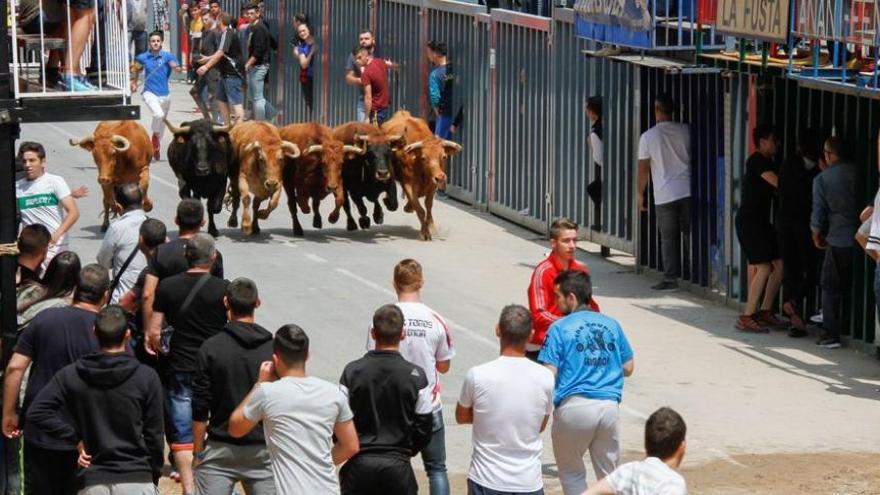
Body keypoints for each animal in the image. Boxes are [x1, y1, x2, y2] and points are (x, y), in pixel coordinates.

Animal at [380, 113, 460, 244]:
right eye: (424, 158)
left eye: (444, 156)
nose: (440, 177)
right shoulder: (408, 184)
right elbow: (420, 208)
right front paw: (425, 232)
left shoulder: (432, 186)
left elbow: (428, 206)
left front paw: (431, 228)